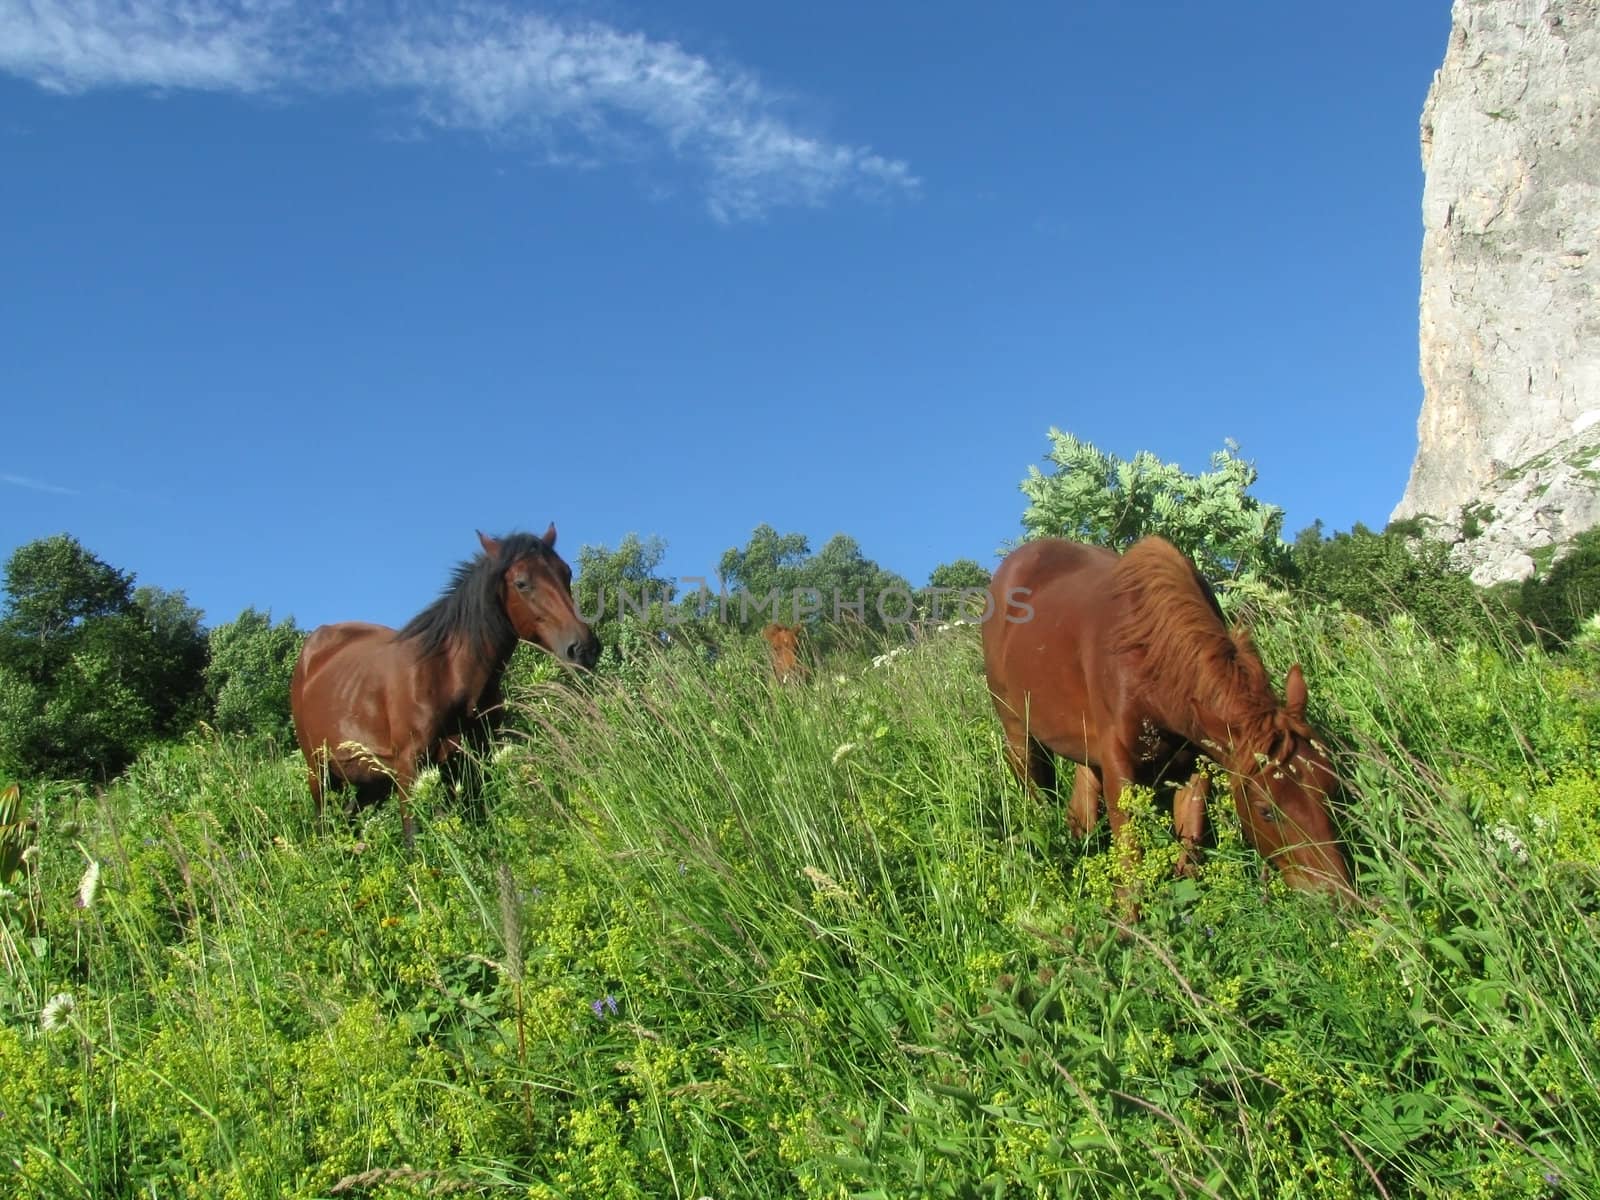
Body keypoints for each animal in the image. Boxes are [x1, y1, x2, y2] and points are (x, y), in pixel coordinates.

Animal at [289, 524, 601, 844]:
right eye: (522, 583)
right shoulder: (410, 767)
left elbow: (480, 821)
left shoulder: (472, 760)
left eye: (566, 573)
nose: (584, 648)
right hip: (320, 773)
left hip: (371, 780)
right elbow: (413, 838)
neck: (449, 674)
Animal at [979, 540, 1356, 908]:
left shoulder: (1196, 764)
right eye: (1266, 811)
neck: (1148, 653)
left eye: (1332, 788)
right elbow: (1131, 860)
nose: (1340, 900)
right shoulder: (1119, 764)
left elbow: (1189, 850)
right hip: (1018, 730)